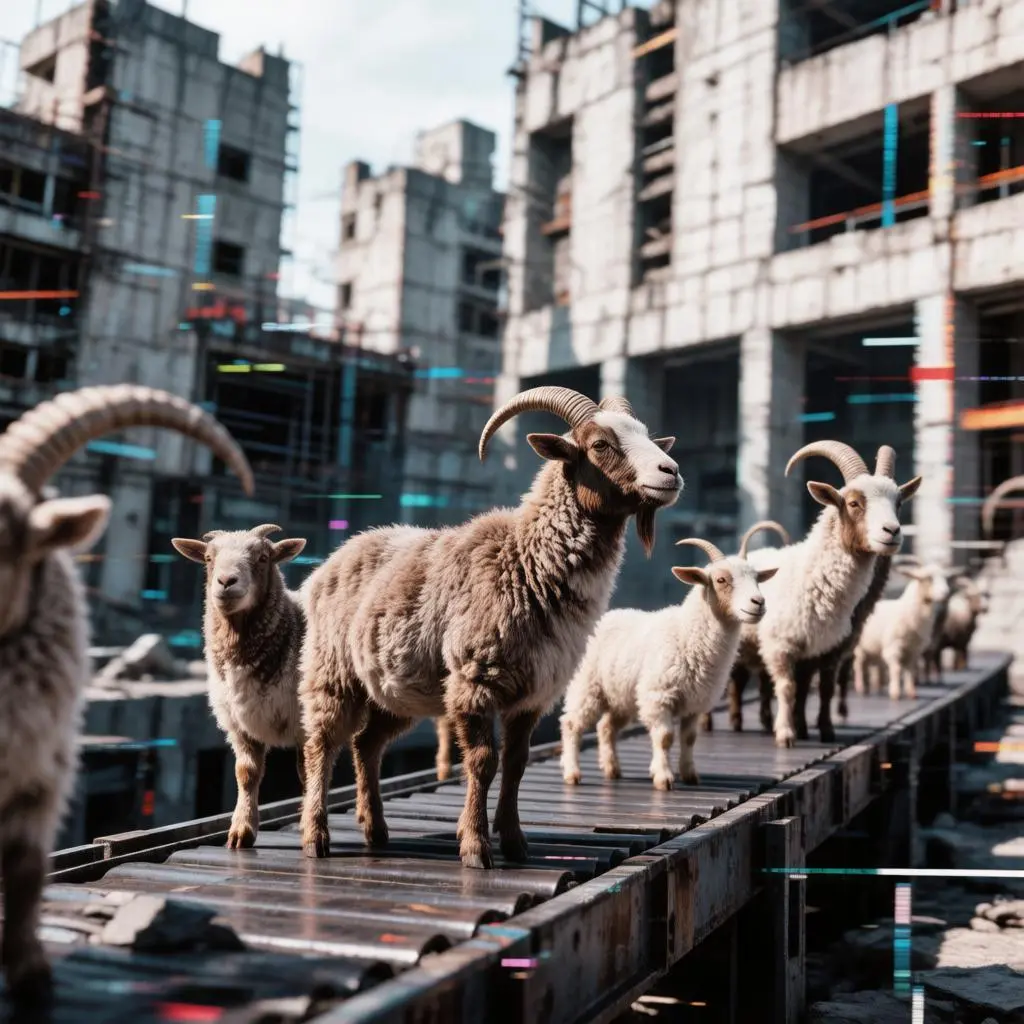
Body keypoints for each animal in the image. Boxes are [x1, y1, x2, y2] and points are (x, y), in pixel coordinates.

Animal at [297, 387, 682, 868]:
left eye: (648, 437)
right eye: (599, 444)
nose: (671, 473)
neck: (525, 560)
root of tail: (335, 556)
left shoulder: (533, 692)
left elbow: (516, 762)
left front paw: (515, 842)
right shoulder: (474, 679)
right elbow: (482, 761)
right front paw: (477, 847)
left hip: (393, 689)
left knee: (366, 745)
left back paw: (376, 830)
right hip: (332, 671)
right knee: (322, 745)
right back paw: (316, 837)